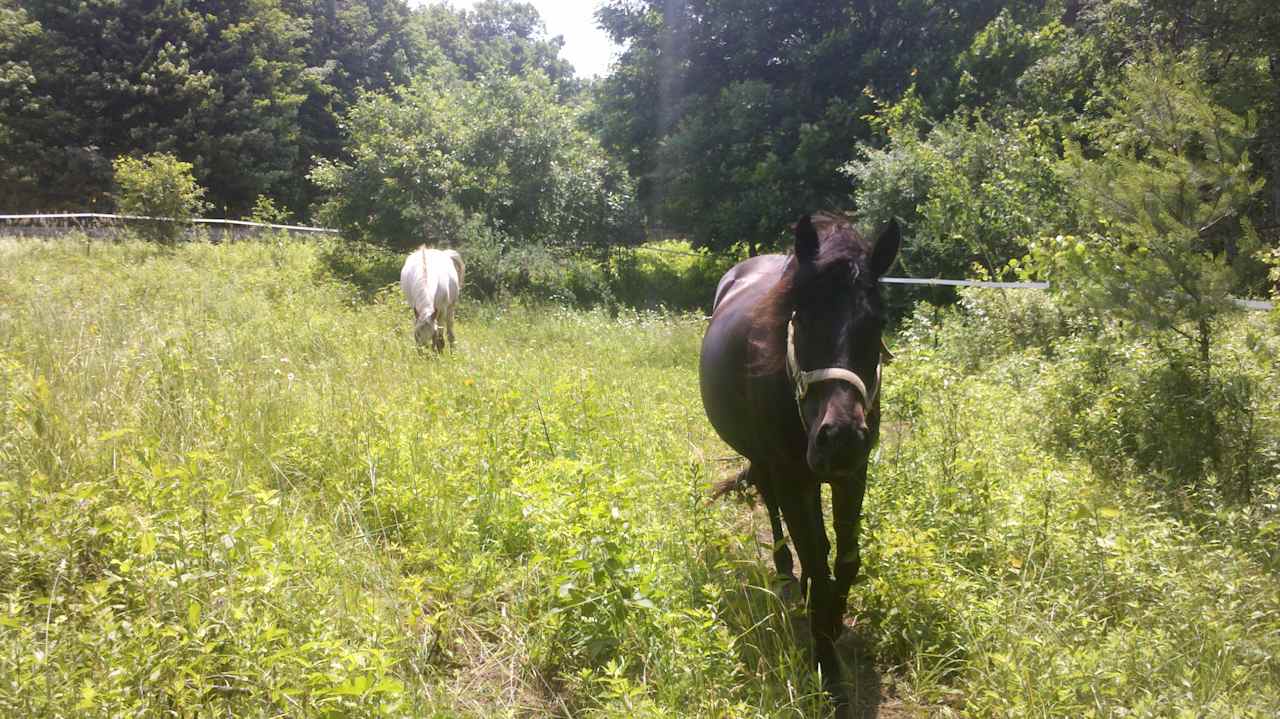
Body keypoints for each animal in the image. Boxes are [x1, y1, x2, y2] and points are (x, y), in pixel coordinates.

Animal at [701, 209, 901, 706]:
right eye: (802, 317)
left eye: (878, 321)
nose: (840, 438)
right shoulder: (793, 475)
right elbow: (815, 556)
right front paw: (827, 666)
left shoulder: (853, 474)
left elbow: (845, 559)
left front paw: (833, 619)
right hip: (767, 463)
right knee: (772, 505)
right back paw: (785, 573)